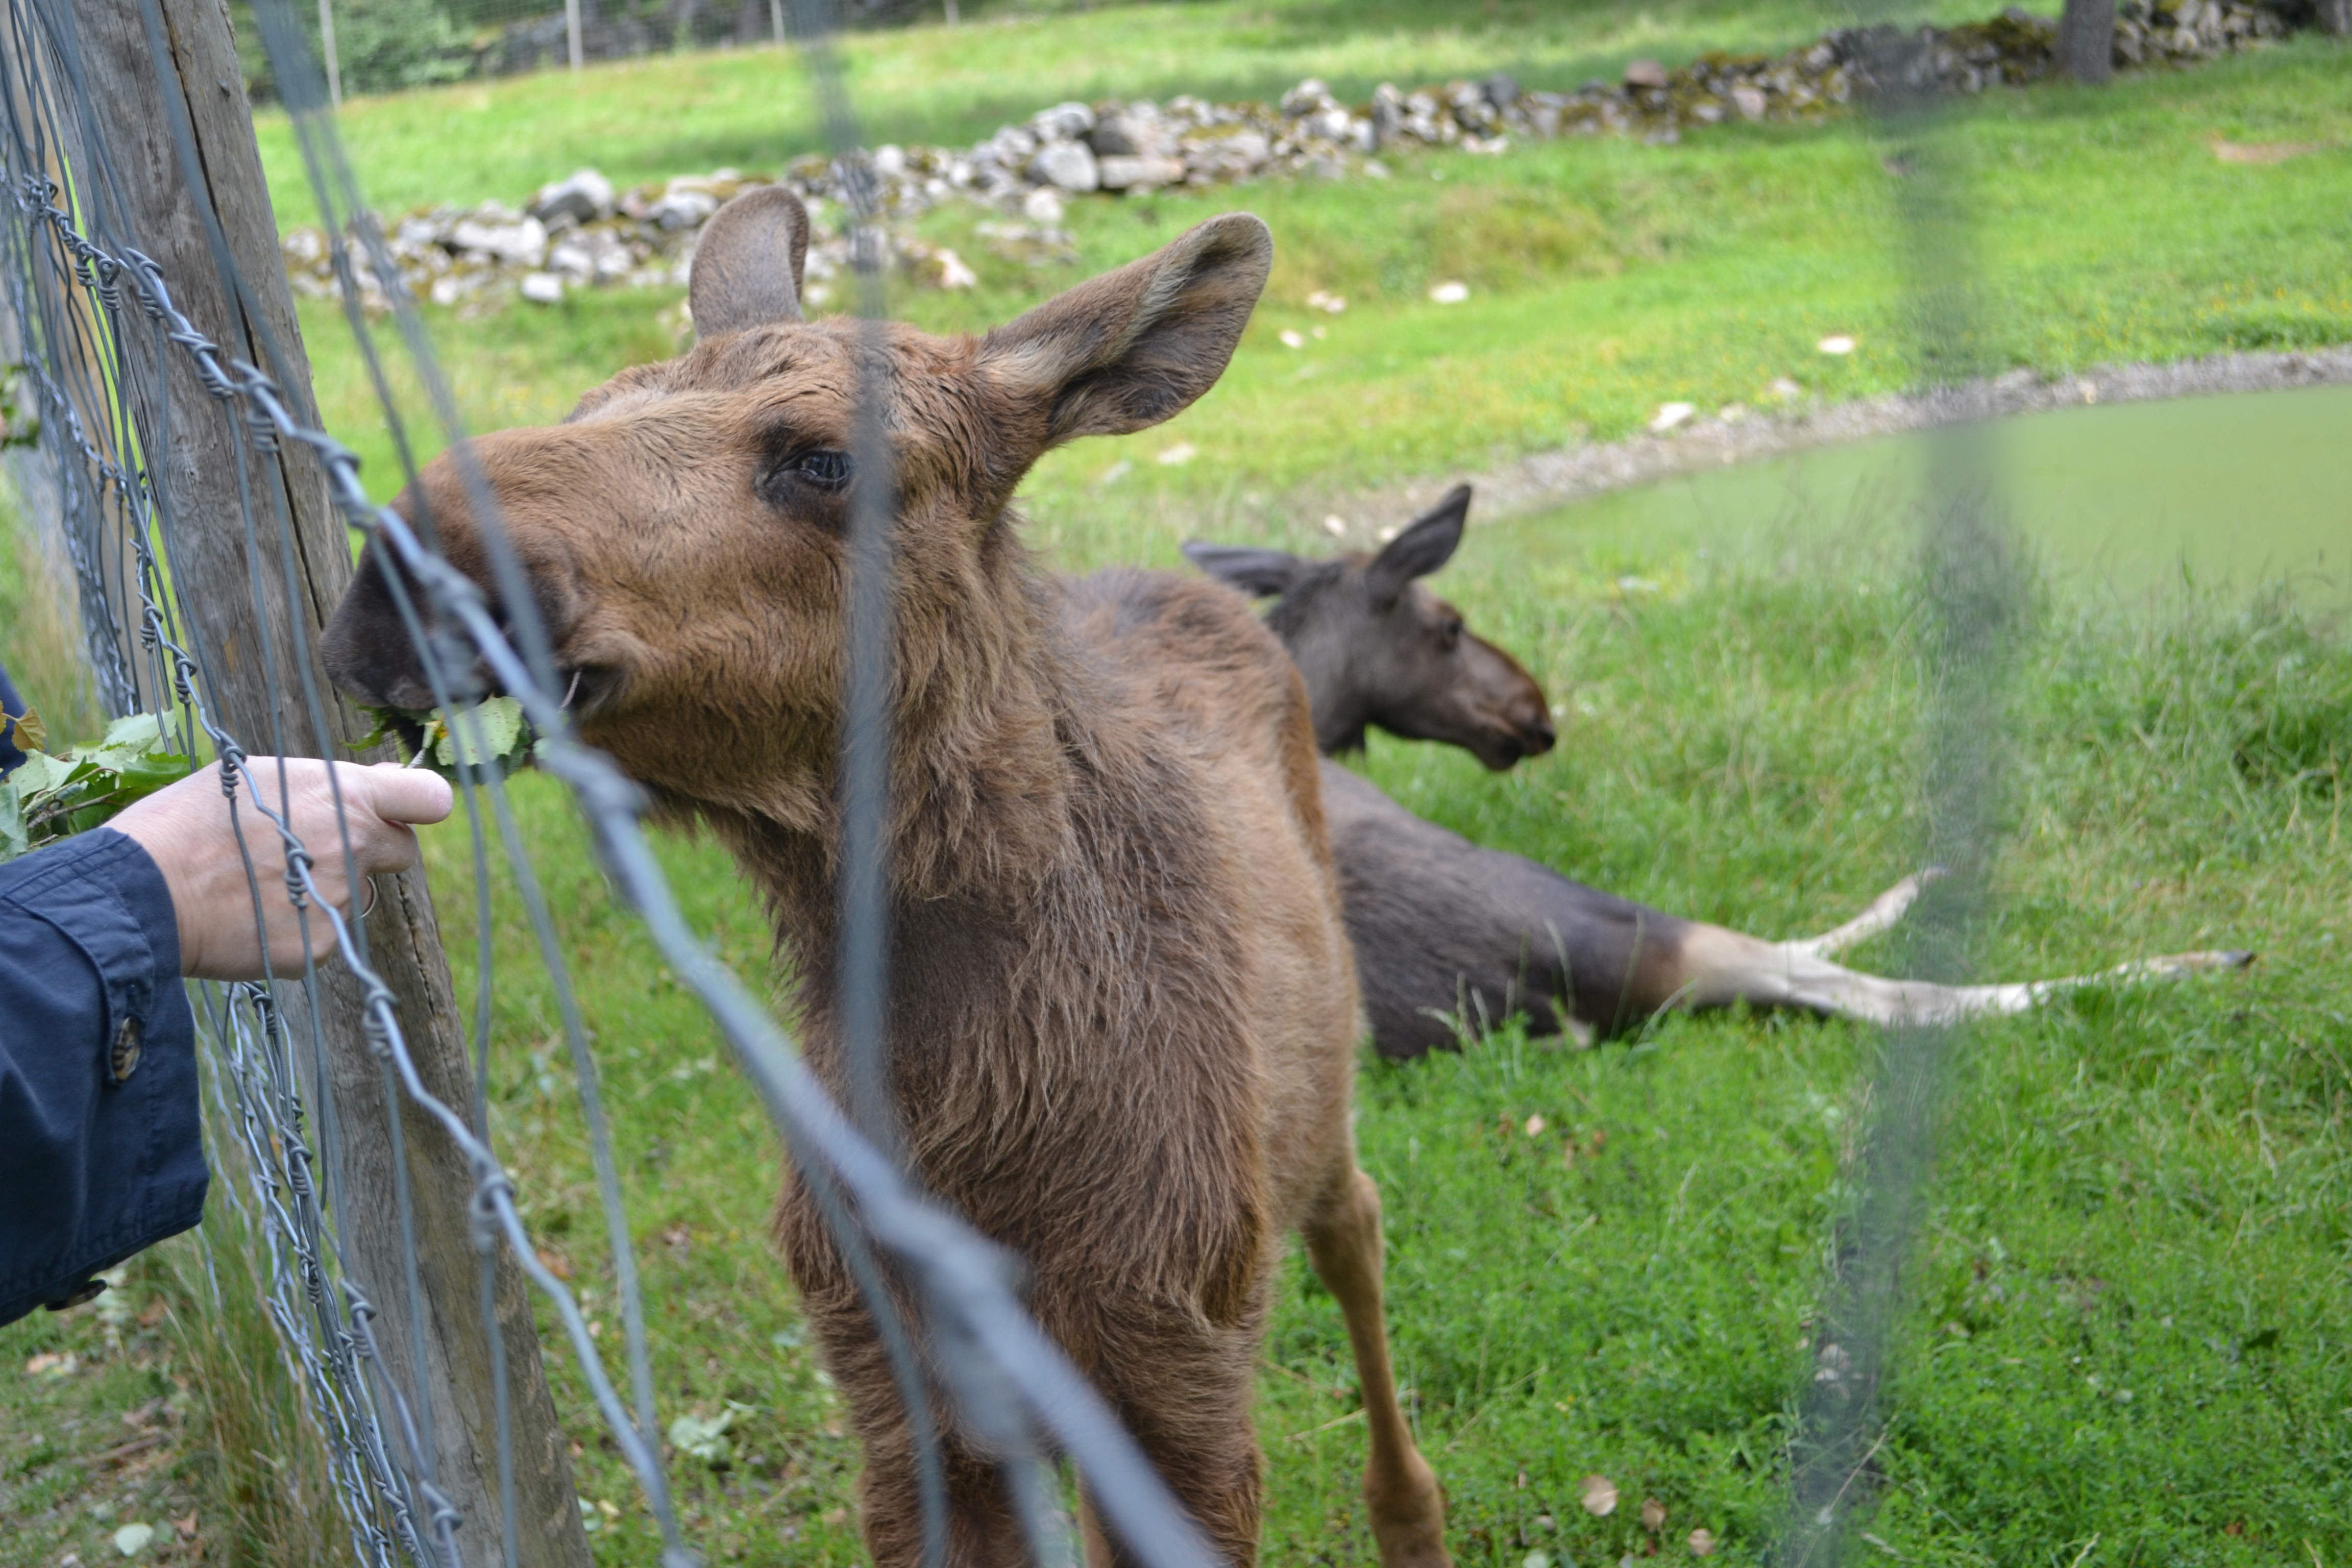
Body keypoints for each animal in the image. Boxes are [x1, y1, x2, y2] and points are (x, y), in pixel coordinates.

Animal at [320, 192, 1439, 1568]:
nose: (395, 585)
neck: (990, 1142)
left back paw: (1413, 1518)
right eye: (591, 403)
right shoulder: (895, 1388)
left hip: (1313, 1111)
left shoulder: (1180, 1348)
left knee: (1359, 1228)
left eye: (821, 458)